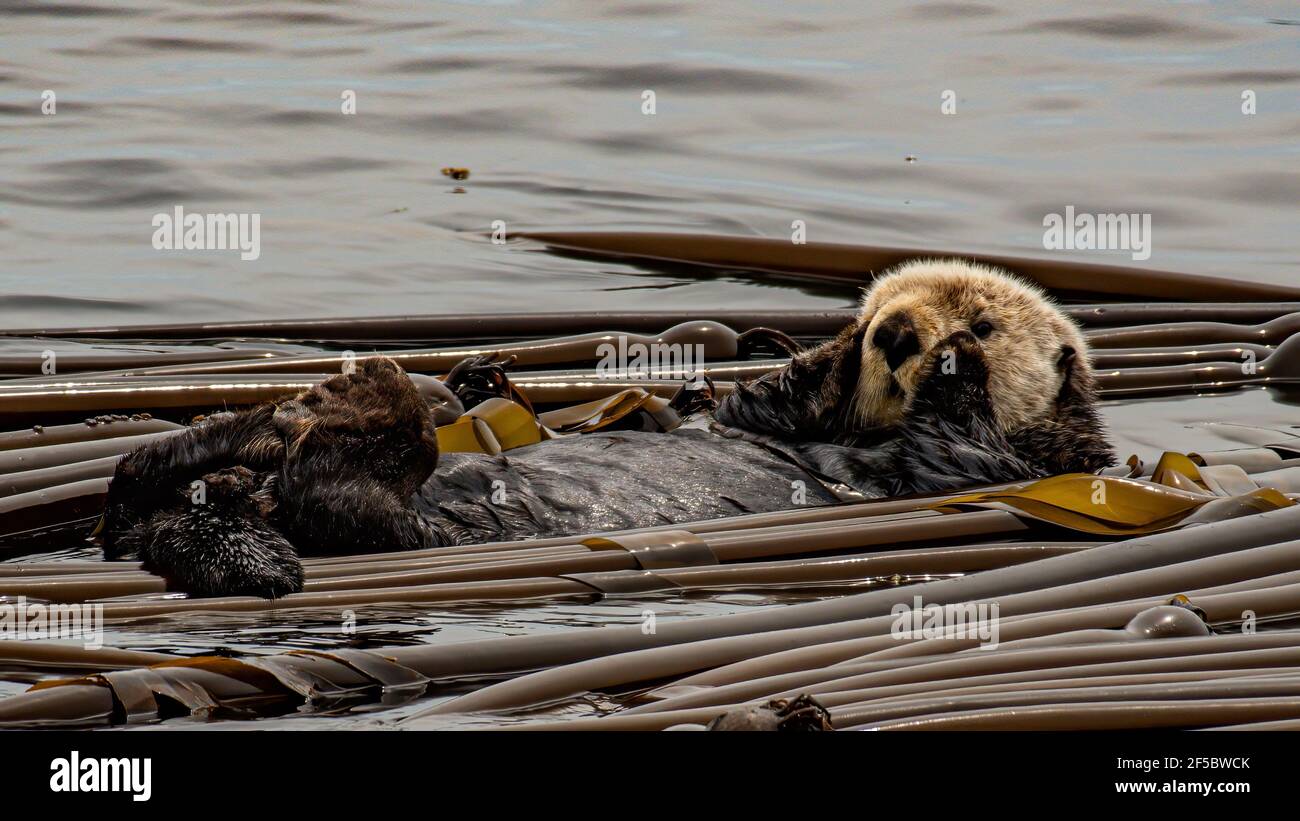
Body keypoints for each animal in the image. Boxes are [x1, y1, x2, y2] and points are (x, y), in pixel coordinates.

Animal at [97, 260, 1115, 598]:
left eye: (985, 322)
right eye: (875, 323)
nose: (897, 333)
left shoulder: (997, 464)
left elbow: (959, 444)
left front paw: (954, 364)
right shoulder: (764, 409)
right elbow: (763, 398)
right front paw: (829, 350)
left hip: (380, 526)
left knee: (340, 497)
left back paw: (363, 404)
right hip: (184, 492)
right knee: (138, 482)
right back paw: (268, 422)